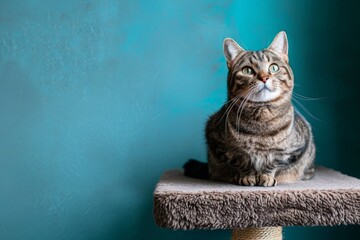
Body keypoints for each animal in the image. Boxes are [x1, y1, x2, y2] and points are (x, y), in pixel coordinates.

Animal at [184, 31, 316, 186]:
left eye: (274, 67)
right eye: (247, 70)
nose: (264, 78)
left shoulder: (293, 150)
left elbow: (275, 162)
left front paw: (266, 176)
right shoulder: (217, 142)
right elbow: (240, 161)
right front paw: (247, 176)